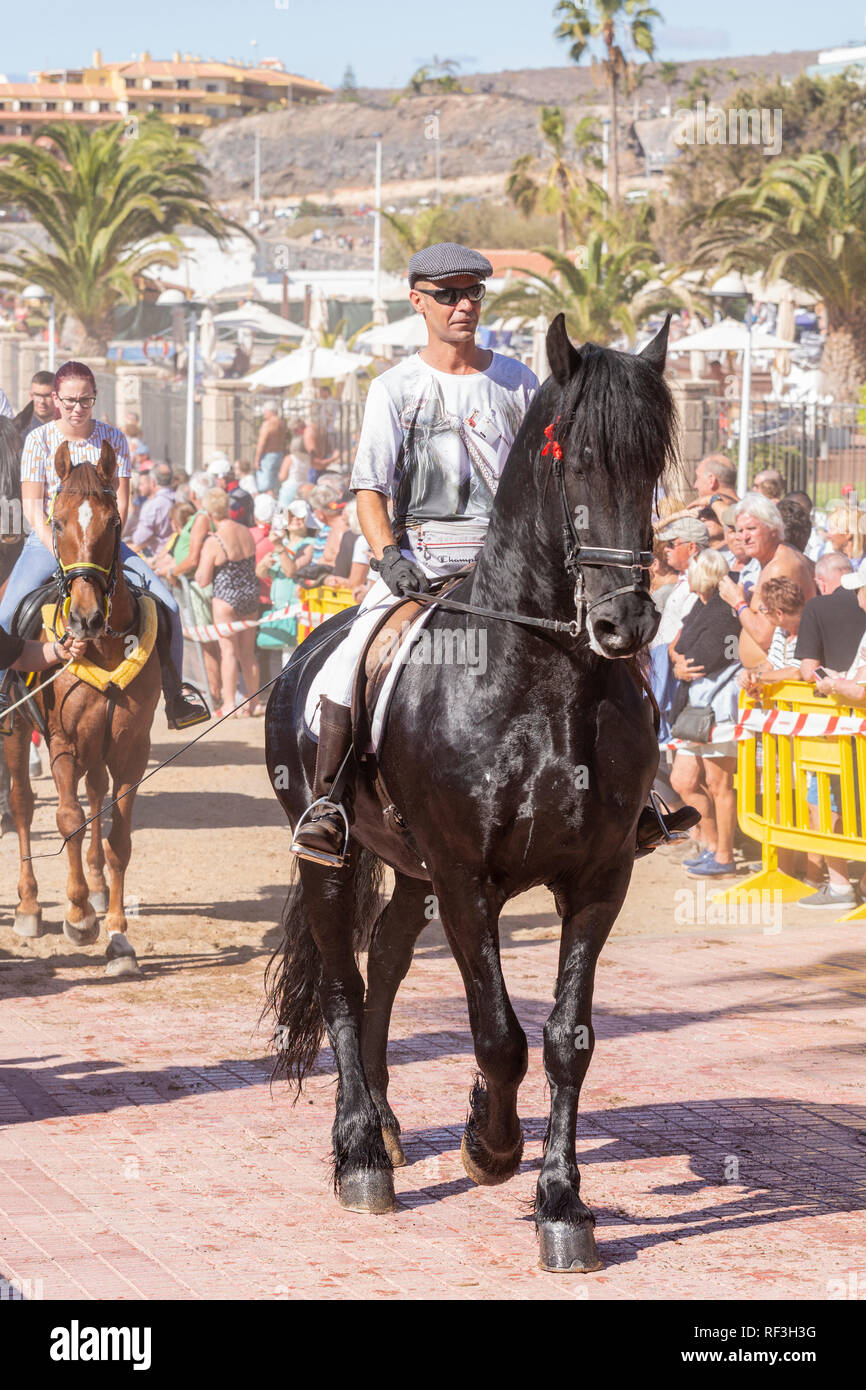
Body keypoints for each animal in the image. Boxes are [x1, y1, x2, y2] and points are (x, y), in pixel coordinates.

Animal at [3, 441, 161, 978]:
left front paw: (118, 936)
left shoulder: (132, 750)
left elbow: (120, 838)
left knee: (95, 798)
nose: (86, 619)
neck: (104, 649)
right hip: (16, 733)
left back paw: (95, 888)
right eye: (57, 520)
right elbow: (67, 817)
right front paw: (77, 915)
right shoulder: (63, 743)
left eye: (114, 521)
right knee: (24, 804)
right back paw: (31, 906)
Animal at [264, 314, 677, 1272]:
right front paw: (491, 1143)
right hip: (332, 859)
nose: (625, 623)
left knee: (383, 965)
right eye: (579, 456)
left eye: (653, 464)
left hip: (409, 872)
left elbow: (566, 1040)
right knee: (343, 984)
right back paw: (359, 1153)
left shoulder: (597, 881)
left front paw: (563, 1203)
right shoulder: (465, 880)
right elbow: (498, 1035)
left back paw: (383, 1123)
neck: (544, 677)